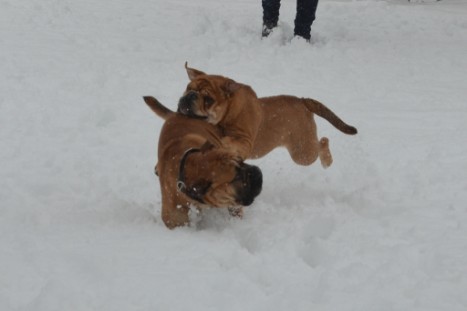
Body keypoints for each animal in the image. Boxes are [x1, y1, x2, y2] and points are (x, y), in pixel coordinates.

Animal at [143, 96, 264, 230]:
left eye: (240, 160)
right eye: (236, 177)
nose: (258, 172)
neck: (189, 165)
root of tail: (176, 114)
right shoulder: (174, 215)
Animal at [177, 63, 356, 168]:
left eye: (208, 99)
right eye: (188, 87)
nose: (190, 96)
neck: (228, 113)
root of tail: (303, 101)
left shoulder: (246, 142)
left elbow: (230, 140)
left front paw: (222, 141)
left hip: (303, 153)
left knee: (321, 143)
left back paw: (327, 159)